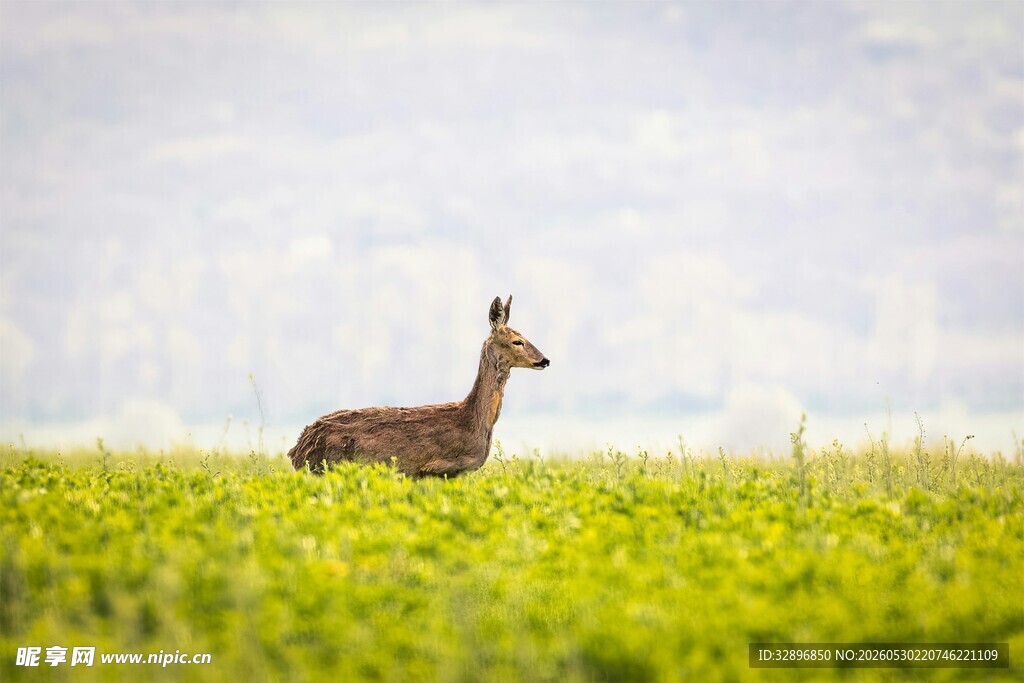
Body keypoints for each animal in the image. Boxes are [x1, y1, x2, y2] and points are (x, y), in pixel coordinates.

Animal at [289, 295, 550, 477]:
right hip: (327, 468)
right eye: (517, 341)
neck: (474, 420)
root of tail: (297, 450)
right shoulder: (439, 468)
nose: (545, 360)